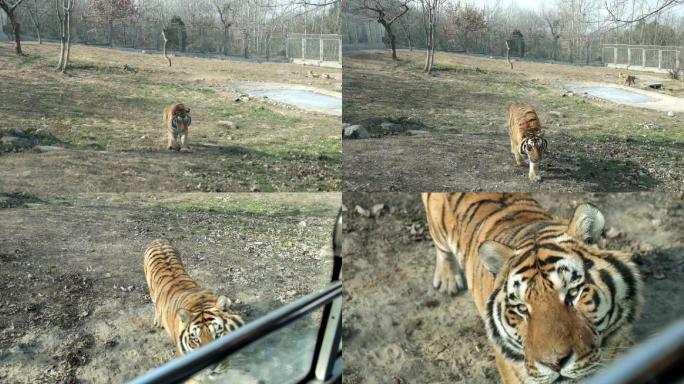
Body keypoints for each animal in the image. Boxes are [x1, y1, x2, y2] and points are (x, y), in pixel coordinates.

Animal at [422, 194, 640, 384]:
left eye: (573, 293)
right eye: (521, 308)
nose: (554, 362)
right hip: (437, 226)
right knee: (441, 248)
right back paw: (448, 280)